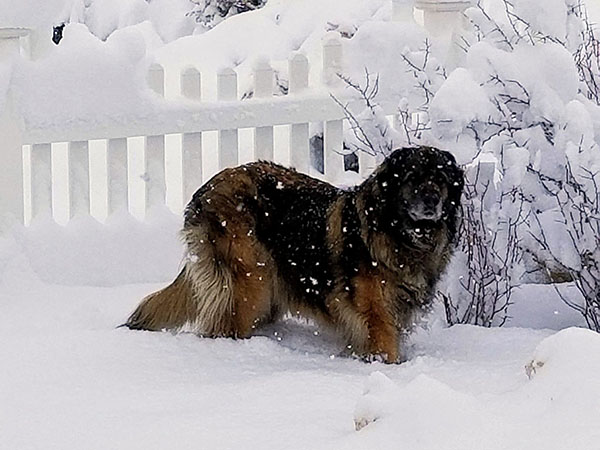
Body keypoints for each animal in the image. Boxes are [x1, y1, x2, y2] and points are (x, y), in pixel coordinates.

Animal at [125, 146, 464, 364]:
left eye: (441, 180)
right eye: (412, 177)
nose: (432, 199)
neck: (399, 234)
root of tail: (206, 190)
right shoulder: (377, 314)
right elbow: (385, 347)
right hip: (252, 279)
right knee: (225, 326)